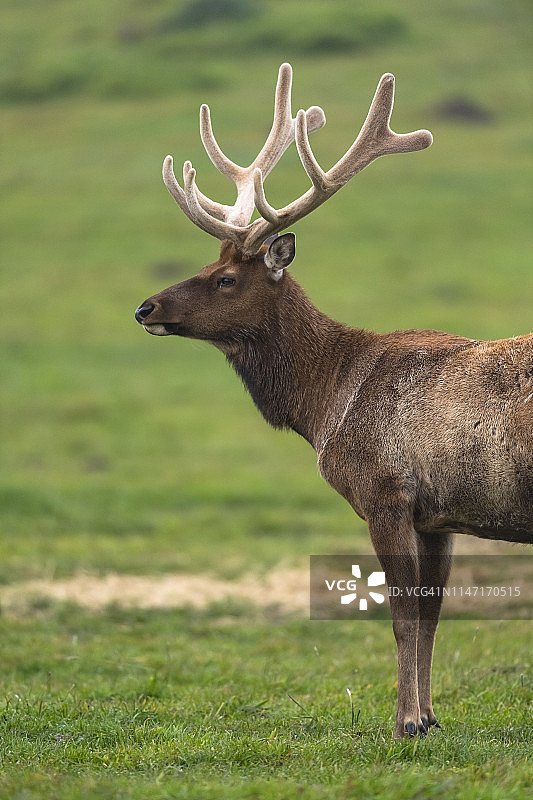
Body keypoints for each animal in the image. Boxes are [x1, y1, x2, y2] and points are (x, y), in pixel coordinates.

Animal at [134, 63, 533, 738]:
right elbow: (432, 615)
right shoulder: (438, 515)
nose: (145, 307)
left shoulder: (385, 493)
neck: (325, 404)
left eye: (226, 278)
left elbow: (402, 615)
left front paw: (404, 722)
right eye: (210, 263)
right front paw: (430, 717)